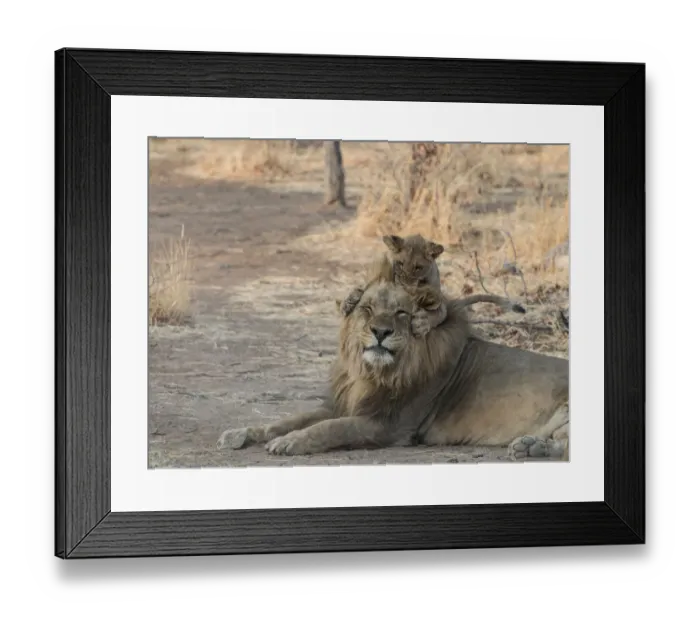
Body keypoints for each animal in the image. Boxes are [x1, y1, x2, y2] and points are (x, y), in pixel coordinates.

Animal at [217, 255, 569, 461]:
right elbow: (288, 419)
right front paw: (241, 433)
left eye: (401, 313)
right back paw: (530, 446)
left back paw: (530, 447)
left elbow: (332, 428)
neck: (375, 372)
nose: (380, 332)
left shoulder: (390, 425)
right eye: (368, 309)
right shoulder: (344, 403)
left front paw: (290, 442)